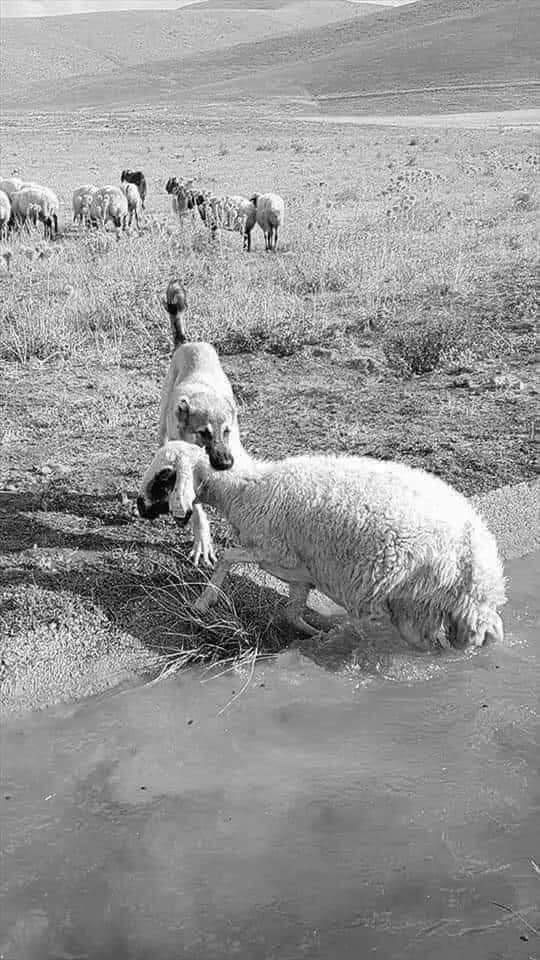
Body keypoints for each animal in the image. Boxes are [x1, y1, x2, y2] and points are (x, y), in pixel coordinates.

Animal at [136, 444, 506, 652]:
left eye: (164, 476)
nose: (138, 507)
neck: (245, 489)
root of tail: (480, 570)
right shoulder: (299, 572)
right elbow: (292, 613)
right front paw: (319, 635)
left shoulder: (273, 549)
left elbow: (228, 556)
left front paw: (203, 602)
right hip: (442, 609)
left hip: (415, 603)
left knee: (428, 646)